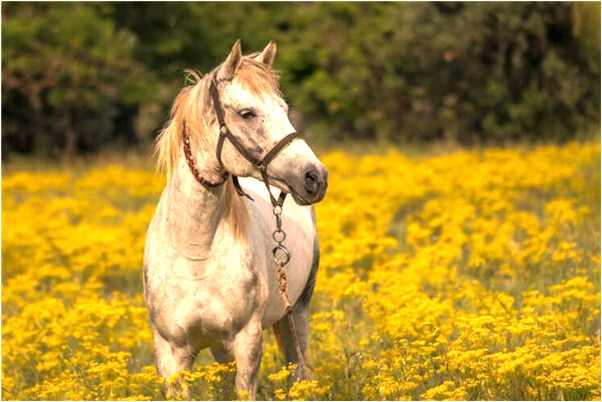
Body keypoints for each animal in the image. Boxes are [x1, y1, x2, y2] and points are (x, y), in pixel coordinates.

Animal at [142, 38, 326, 398]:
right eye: (247, 113)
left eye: (285, 110)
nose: (315, 177)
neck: (195, 253)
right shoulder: (170, 354)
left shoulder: (246, 342)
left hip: (296, 313)